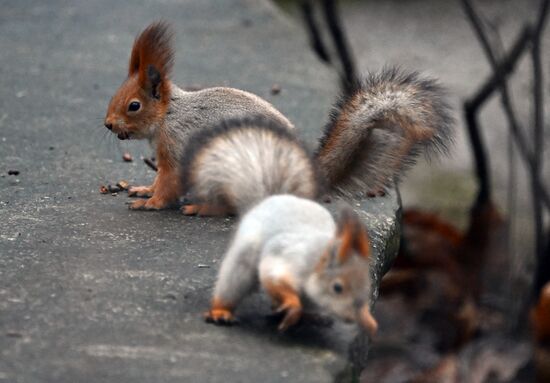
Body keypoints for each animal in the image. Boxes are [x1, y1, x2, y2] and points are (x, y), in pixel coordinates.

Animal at [102, 22, 296, 212]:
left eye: (134, 106)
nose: (108, 124)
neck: (168, 116)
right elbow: (159, 179)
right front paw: (146, 190)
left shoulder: (177, 143)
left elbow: (170, 180)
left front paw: (151, 202)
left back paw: (201, 208)